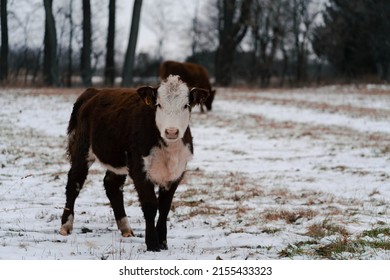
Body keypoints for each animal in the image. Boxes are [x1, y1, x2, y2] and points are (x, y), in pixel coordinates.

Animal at [59, 75, 209, 252]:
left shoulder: (176, 173)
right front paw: (152, 244)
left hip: (117, 160)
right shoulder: (139, 170)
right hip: (82, 149)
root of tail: (93, 92)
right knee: (74, 182)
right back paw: (66, 225)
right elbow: (150, 206)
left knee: (112, 186)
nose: (171, 131)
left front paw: (163, 242)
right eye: (159, 105)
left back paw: (126, 228)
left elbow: (165, 208)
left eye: (186, 105)